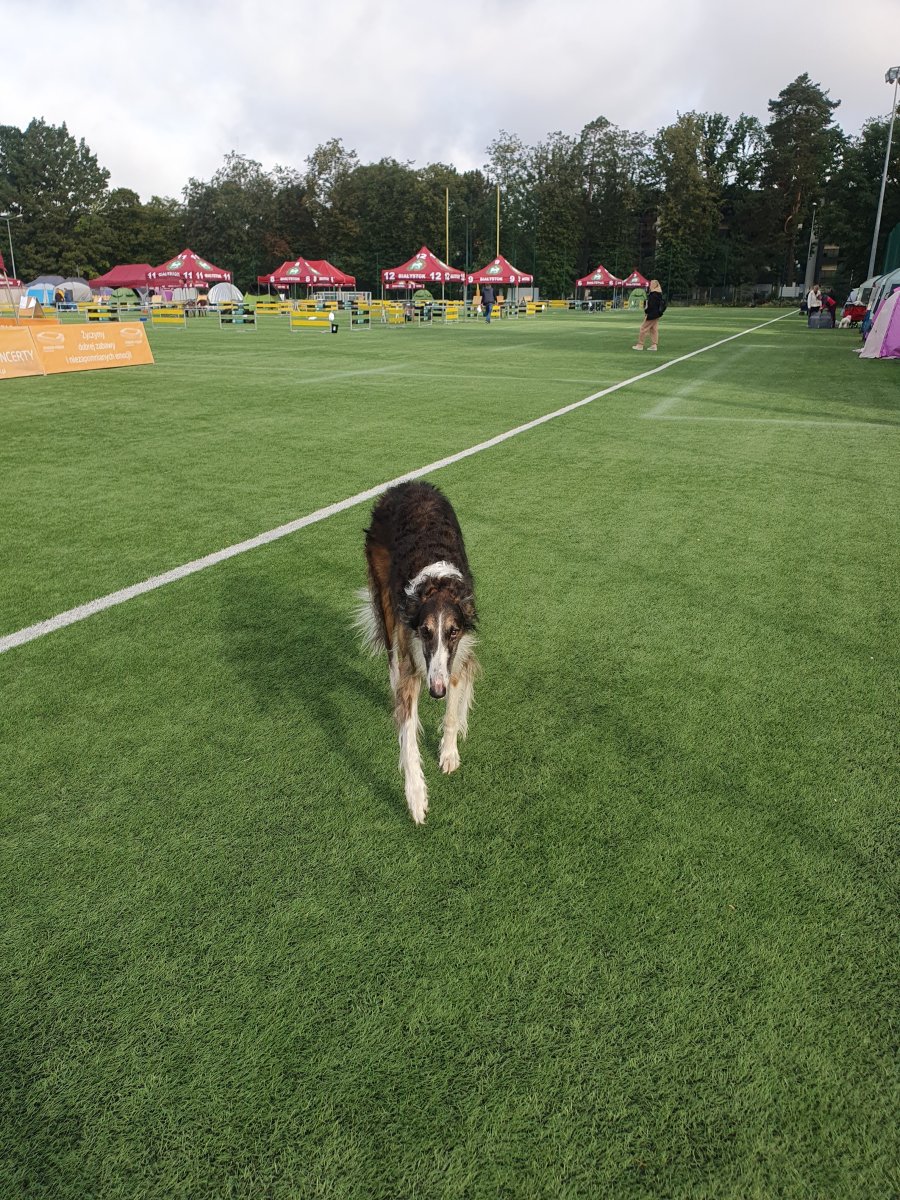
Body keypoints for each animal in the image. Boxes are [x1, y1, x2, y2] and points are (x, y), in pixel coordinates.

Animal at [357, 481, 479, 824]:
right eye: (424, 631)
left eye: (453, 631)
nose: (435, 691)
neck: (436, 583)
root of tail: (405, 484)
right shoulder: (413, 658)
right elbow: (408, 735)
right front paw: (415, 797)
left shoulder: (456, 656)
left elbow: (452, 712)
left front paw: (449, 752)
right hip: (385, 600)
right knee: (391, 659)